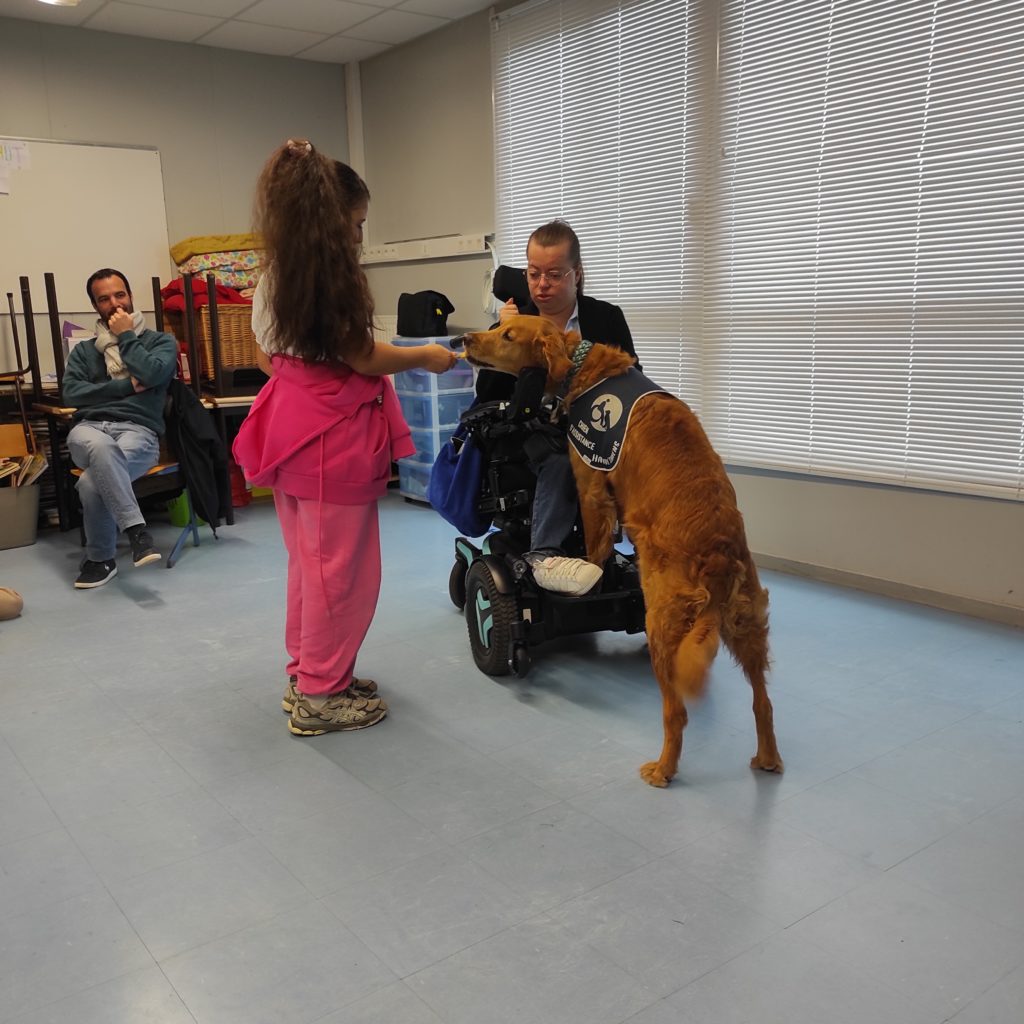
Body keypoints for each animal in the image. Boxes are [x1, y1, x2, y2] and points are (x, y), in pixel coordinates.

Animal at [460, 315, 783, 787]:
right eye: (499, 322)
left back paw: (663, 768)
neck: (582, 364)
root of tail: (719, 557)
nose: (462, 338)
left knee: (676, 713)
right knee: (763, 701)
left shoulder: (590, 482)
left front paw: (591, 576)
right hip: (748, 625)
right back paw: (768, 758)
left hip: (661, 624)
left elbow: (596, 547)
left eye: (507, 334)